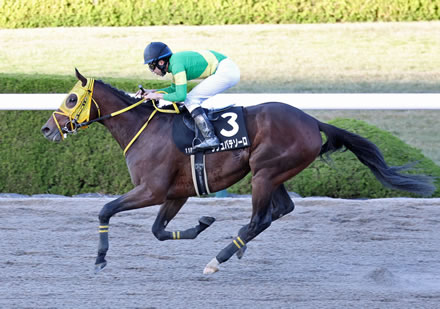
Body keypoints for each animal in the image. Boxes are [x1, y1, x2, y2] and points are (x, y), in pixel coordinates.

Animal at [41, 69, 436, 272]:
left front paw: (100, 258)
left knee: (262, 217)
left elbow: (105, 209)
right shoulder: (176, 192)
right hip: (271, 172)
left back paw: (219, 259)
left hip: (265, 172)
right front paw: (202, 224)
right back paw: (238, 245)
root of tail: (312, 120)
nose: (47, 129)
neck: (146, 129)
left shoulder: (152, 190)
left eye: (72, 98)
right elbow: (158, 231)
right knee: (280, 209)